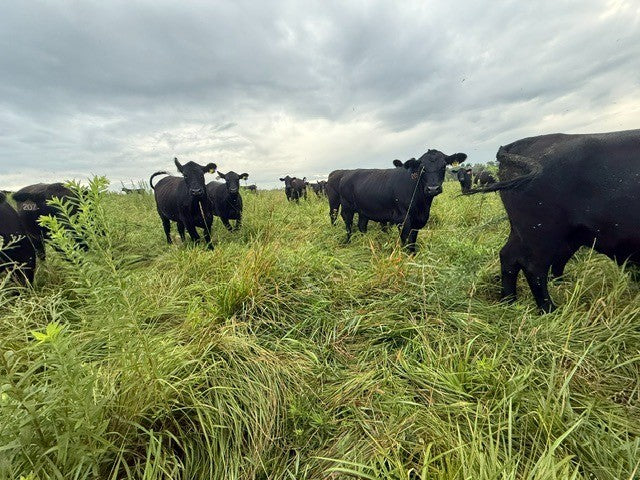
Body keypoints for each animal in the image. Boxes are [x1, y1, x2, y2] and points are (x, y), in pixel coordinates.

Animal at [333, 149, 467, 252]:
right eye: (422, 168)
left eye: (444, 165)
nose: (433, 188)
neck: (422, 205)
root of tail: (345, 175)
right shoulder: (403, 219)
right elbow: (405, 241)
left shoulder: (417, 221)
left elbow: (412, 242)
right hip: (347, 208)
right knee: (348, 226)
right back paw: (348, 242)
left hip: (363, 211)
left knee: (361, 226)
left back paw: (366, 243)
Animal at [469, 129, 640, 312]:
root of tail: (518, 144)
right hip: (542, 234)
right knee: (533, 266)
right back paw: (549, 309)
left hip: (537, 233)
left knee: (511, 257)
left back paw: (510, 301)